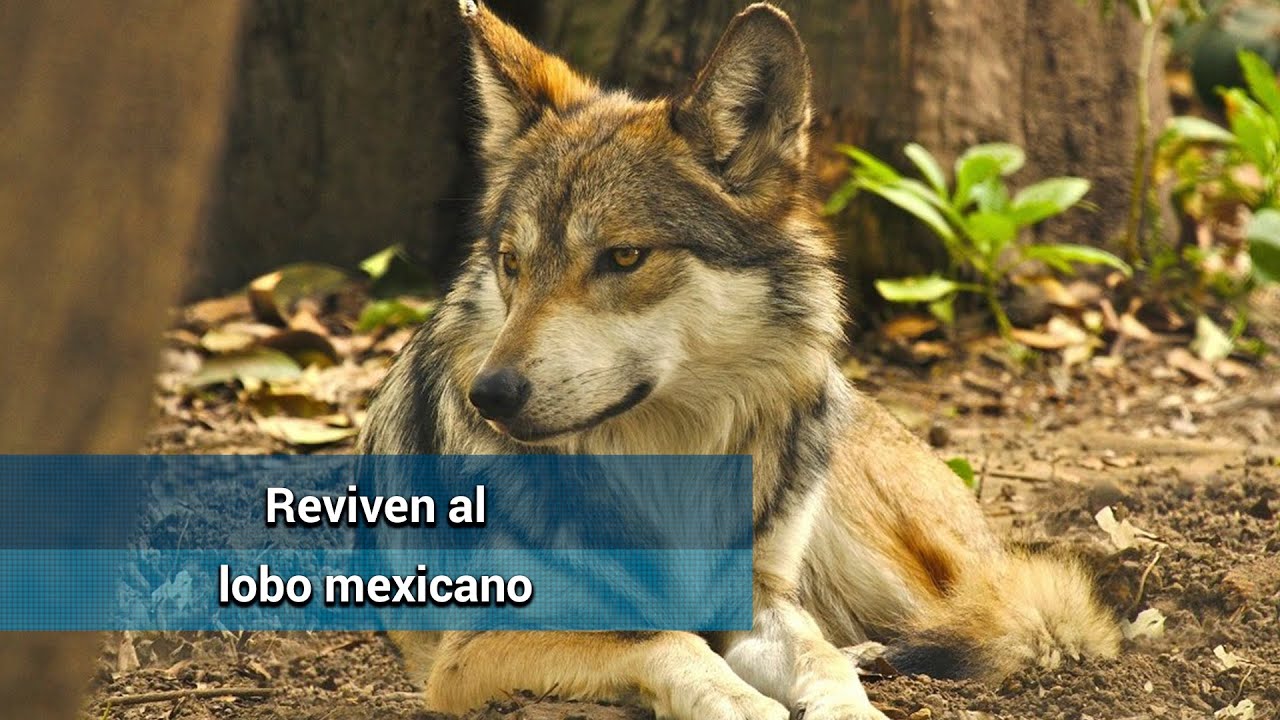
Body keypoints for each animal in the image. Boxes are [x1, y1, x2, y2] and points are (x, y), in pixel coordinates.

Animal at [358, 2, 1122, 718]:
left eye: (624, 257)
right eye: (512, 264)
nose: (491, 394)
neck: (668, 467)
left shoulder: (760, 598)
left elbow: (818, 658)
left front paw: (849, 704)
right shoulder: (462, 656)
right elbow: (666, 639)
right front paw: (745, 702)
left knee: (988, 614)